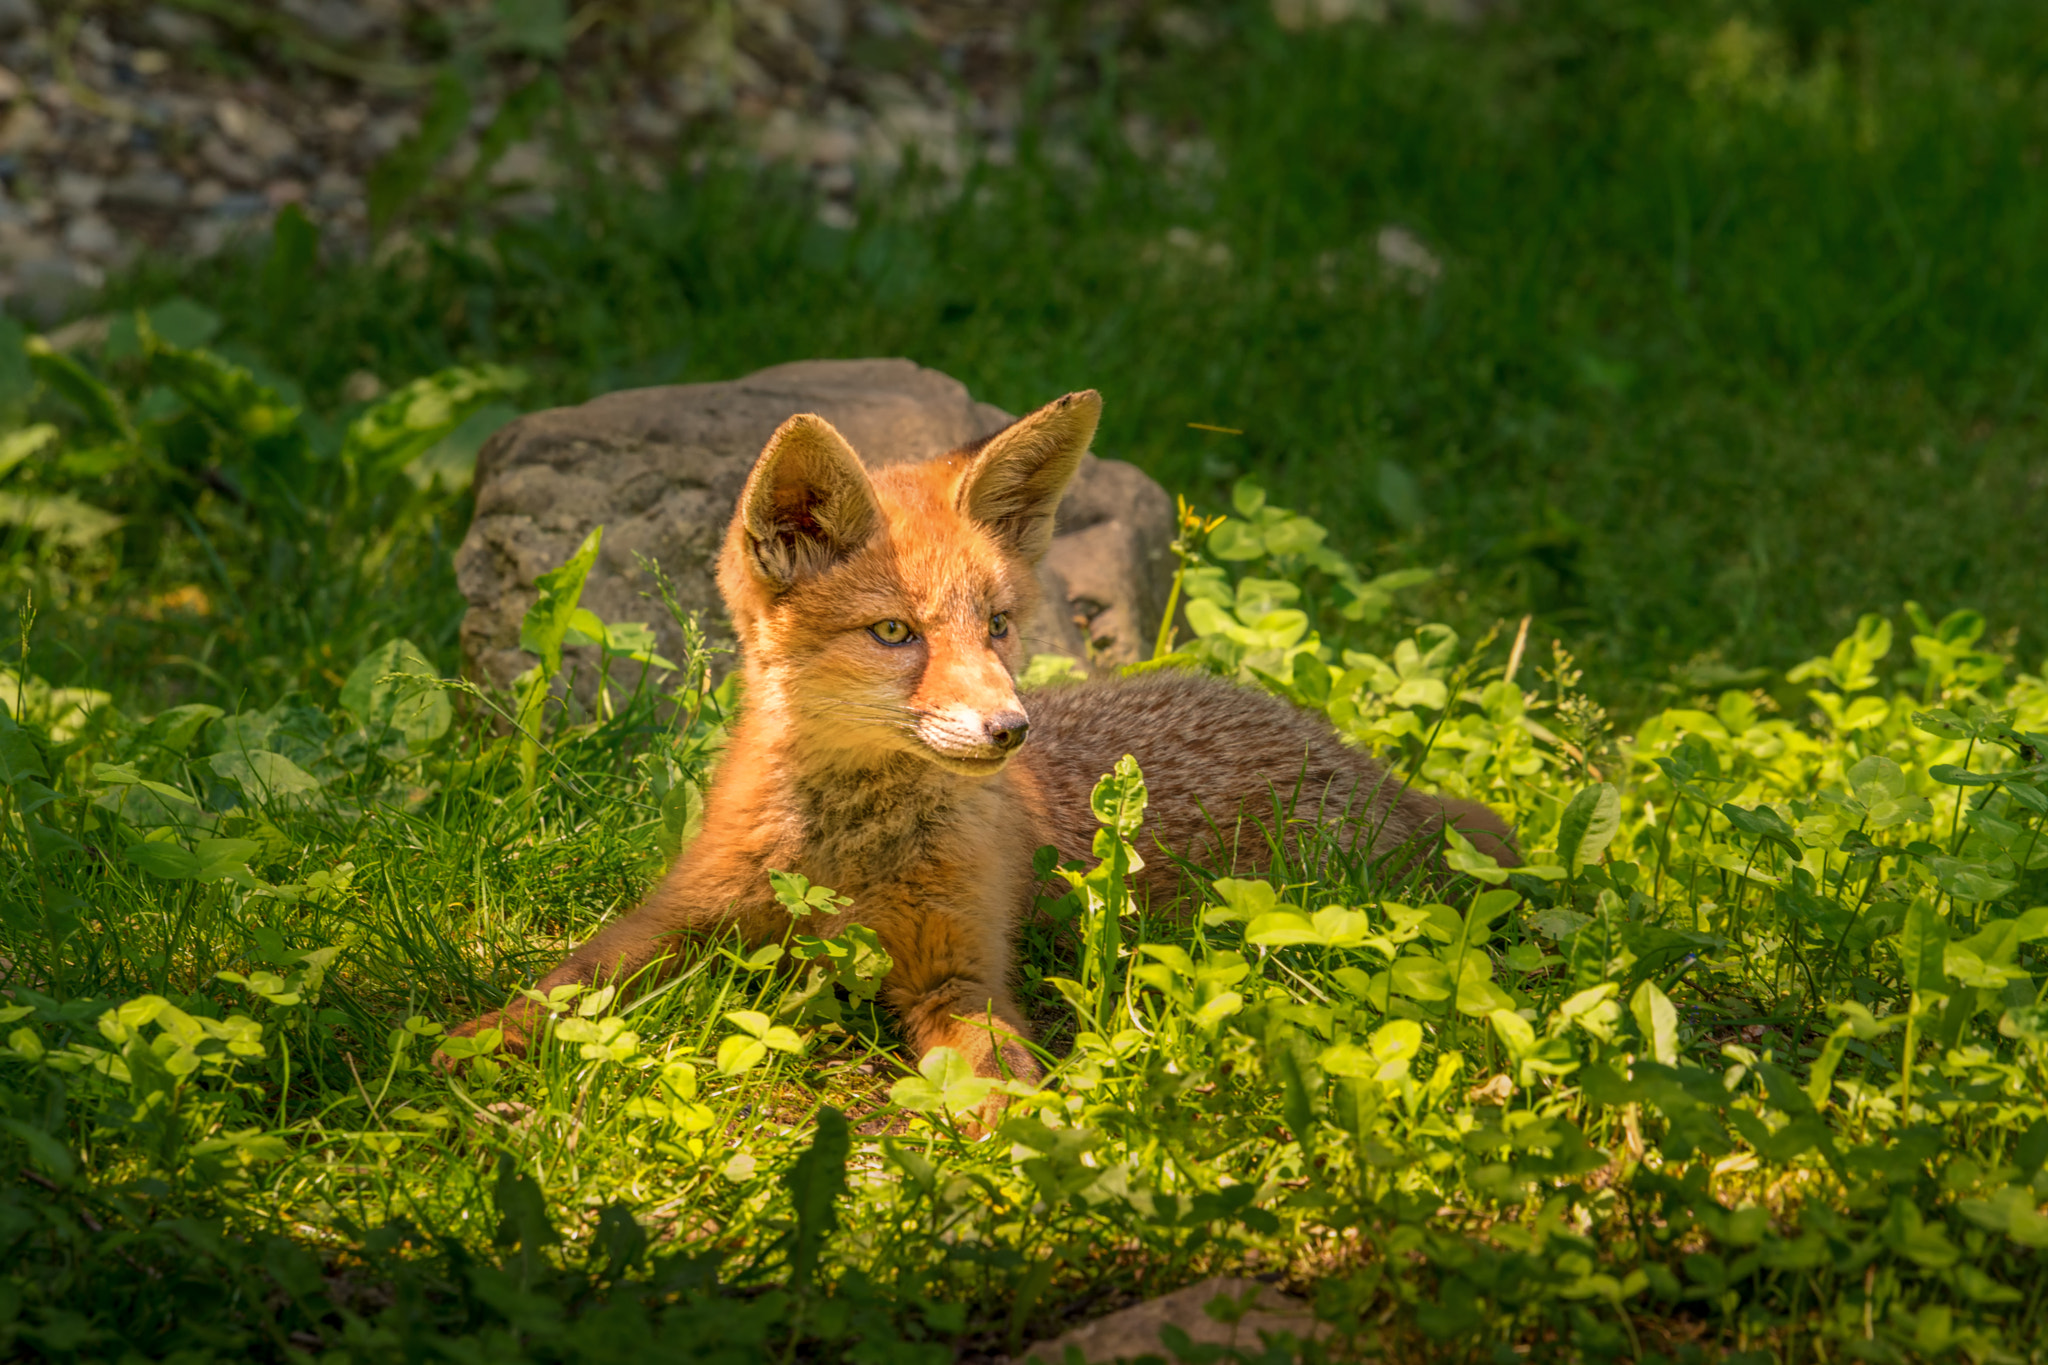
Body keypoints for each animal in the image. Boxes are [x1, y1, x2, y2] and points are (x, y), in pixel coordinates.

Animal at [448, 392, 1523, 1088]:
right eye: (896, 632)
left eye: (998, 625)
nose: (1012, 728)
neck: (846, 862)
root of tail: (1380, 780)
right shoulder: (678, 914)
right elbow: (565, 980)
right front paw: (462, 1041)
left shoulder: (962, 968)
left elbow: (997, 1081)